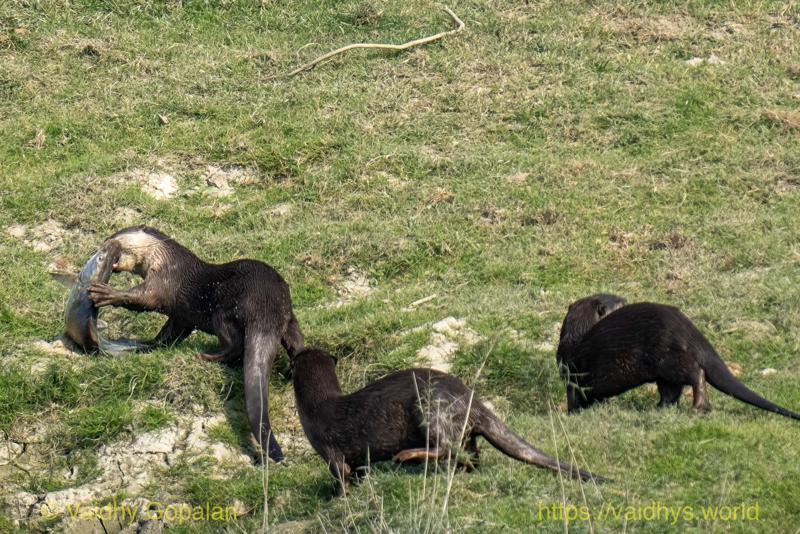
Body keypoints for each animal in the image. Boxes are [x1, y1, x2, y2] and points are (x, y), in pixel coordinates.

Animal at [87, 226, 305, 462]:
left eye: (113, 238)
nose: (102, 247)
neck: (164, 258)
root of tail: (266, 306)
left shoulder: (164, 279)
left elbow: (144, 299)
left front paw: (106, 293)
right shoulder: (181, 317)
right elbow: (168, 334)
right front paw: (145, 345)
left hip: (224, 312)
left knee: (235, 345)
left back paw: (207, 357)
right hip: (288, 317)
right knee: (297, 344)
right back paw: (290, 372)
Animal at [292, 348, 605, 496]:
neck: (317, 407)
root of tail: (470, 399)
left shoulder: (329, 450)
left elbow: (341, 475)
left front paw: (336, 497)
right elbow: (358, 471)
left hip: (430, 410)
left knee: (446, 447)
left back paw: (407, 456)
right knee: (470, 454)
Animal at [557, 294, 800, 420]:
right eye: (620, 302)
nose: (625, 297)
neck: (574, 342)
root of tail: (689, 331)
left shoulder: (574, 376)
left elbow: (574, 398)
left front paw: (573, 415)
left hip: (666, 358)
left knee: (694, 372)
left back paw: (699, 406)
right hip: (663, 367)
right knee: (671, 391)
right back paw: (658, 408)